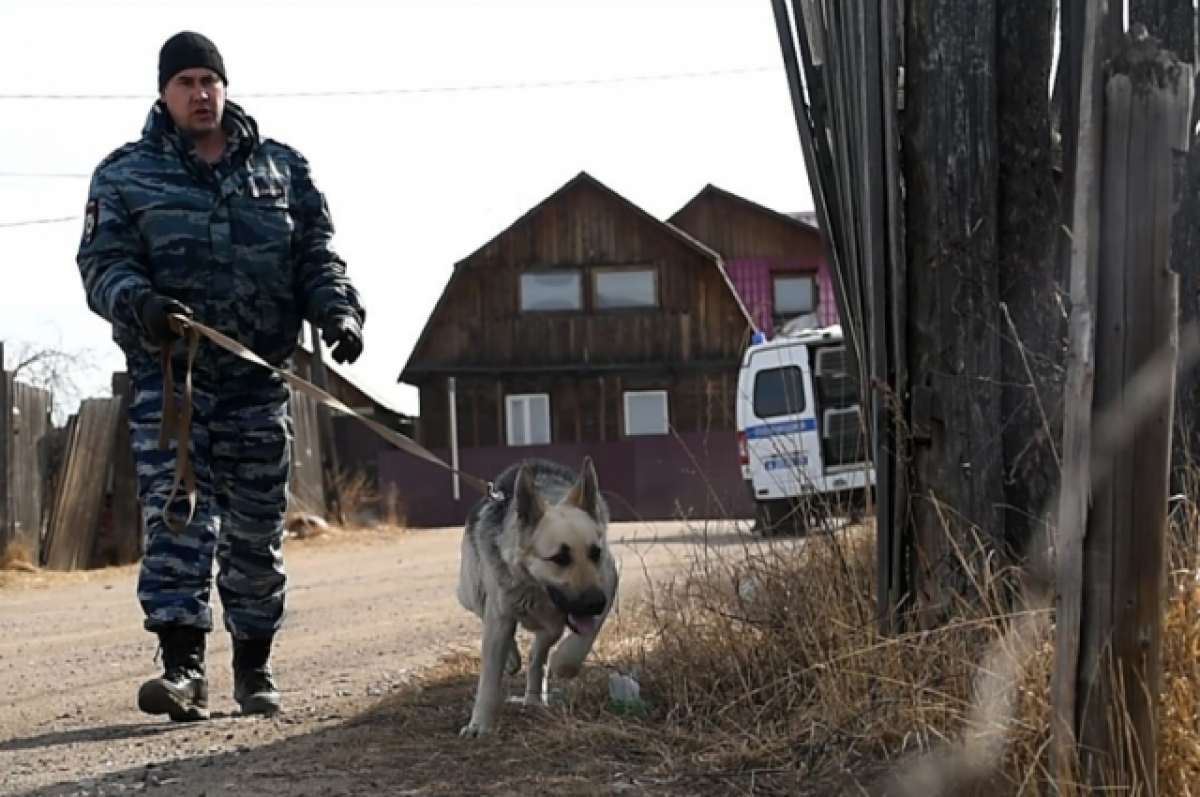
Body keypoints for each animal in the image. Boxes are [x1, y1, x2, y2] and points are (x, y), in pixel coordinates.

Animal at [456, 458, 619, 739]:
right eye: (560, 558)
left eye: (595, 553)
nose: (594, 604)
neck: (537, 587)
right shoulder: (500, 614)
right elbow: (489, 676)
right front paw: (480, 723)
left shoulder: (608, 585)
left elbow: (580, 643)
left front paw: (563, 662)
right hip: (471, 593)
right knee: (485, 615)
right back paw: (512, 659)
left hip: (551, 626)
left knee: (537, 655)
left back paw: (533, 697)